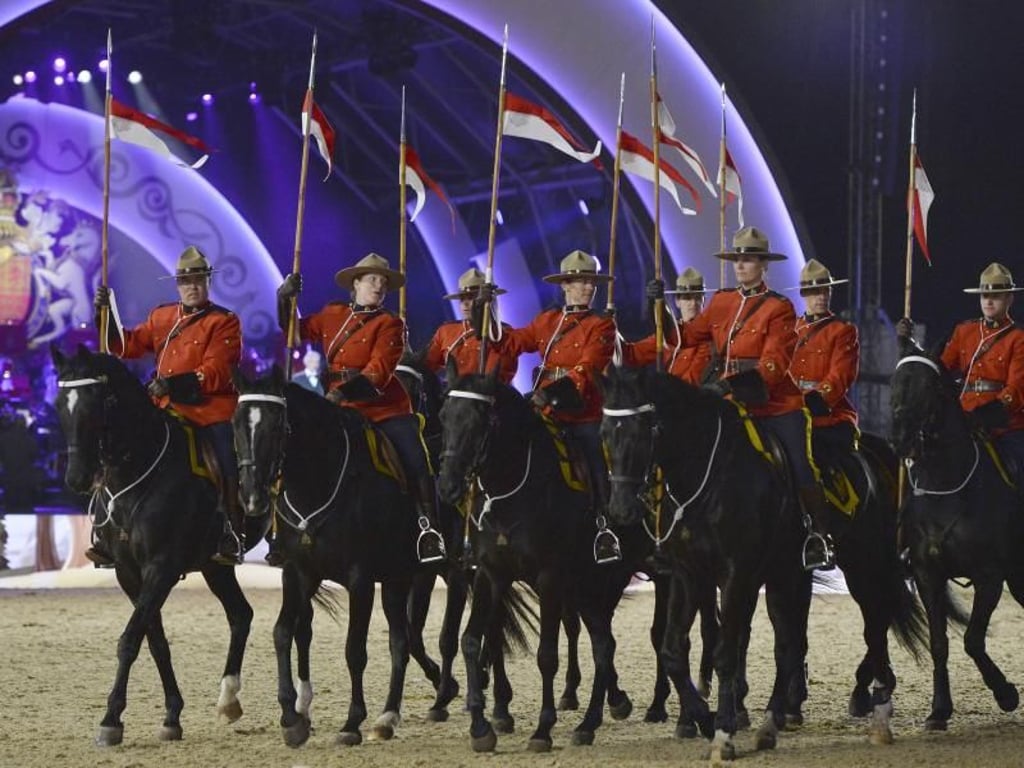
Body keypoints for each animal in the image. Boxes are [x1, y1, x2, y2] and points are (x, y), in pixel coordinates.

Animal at [51, 345, 259, 746]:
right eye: (59, 405)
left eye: (97, 401)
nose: (77, 478)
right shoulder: (128, 572)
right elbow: (155, 640)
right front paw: (172, 716)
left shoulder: (161, 567)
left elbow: (131, 638)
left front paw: (111, 719)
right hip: (216, 565)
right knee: (241, 615)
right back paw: (229, 700)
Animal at [437, 367, 639, 752]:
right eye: (445, 416)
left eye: (480, 420)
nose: (448, 485)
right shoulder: (490, 574)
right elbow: (471, 640)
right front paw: (480, 727)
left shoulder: (549, 578)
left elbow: (546, 654)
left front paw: (543, 729)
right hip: (585, 586)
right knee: (603, 644)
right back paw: (591, 721)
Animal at [891, 349, 1024, 730]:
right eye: (895, 381)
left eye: (931, 386)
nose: (901, 437)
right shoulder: (927, 575)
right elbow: (940, 643)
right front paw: (939, 710)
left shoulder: (990, 577)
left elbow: (973, 640)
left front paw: (1006, 694)